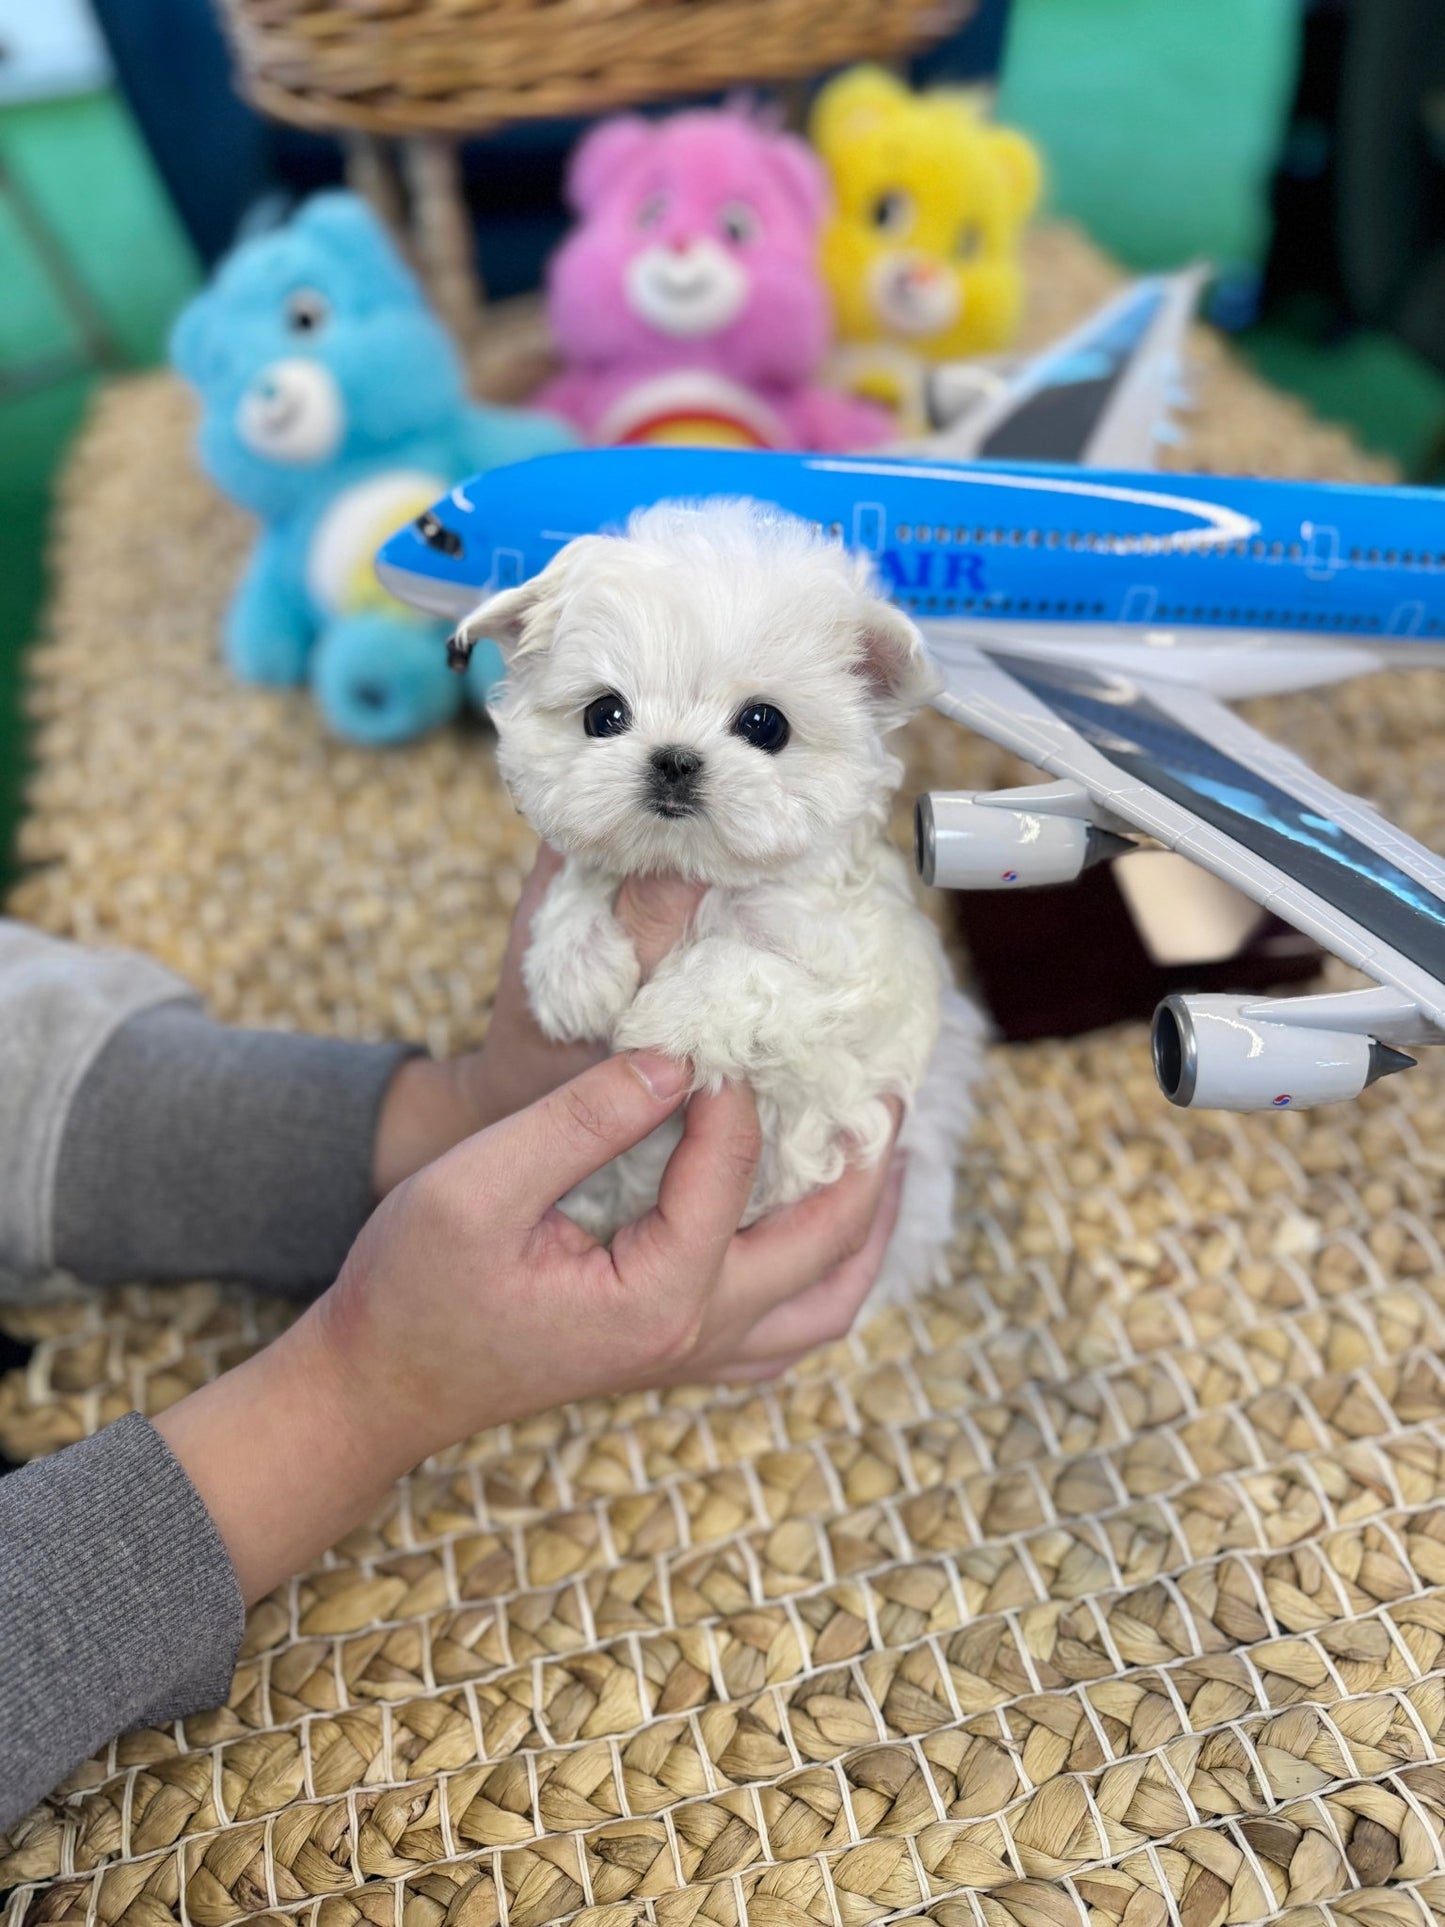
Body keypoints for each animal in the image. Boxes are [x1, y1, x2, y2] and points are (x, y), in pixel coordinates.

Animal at [458, 501, 994, 1310]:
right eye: (604, 715)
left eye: (763, 724)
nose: (674, 759)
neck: (704, 878)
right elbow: (587, 874)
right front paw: (573, 971)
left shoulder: (857, 991)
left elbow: (748, 970)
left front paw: (667, 1016)